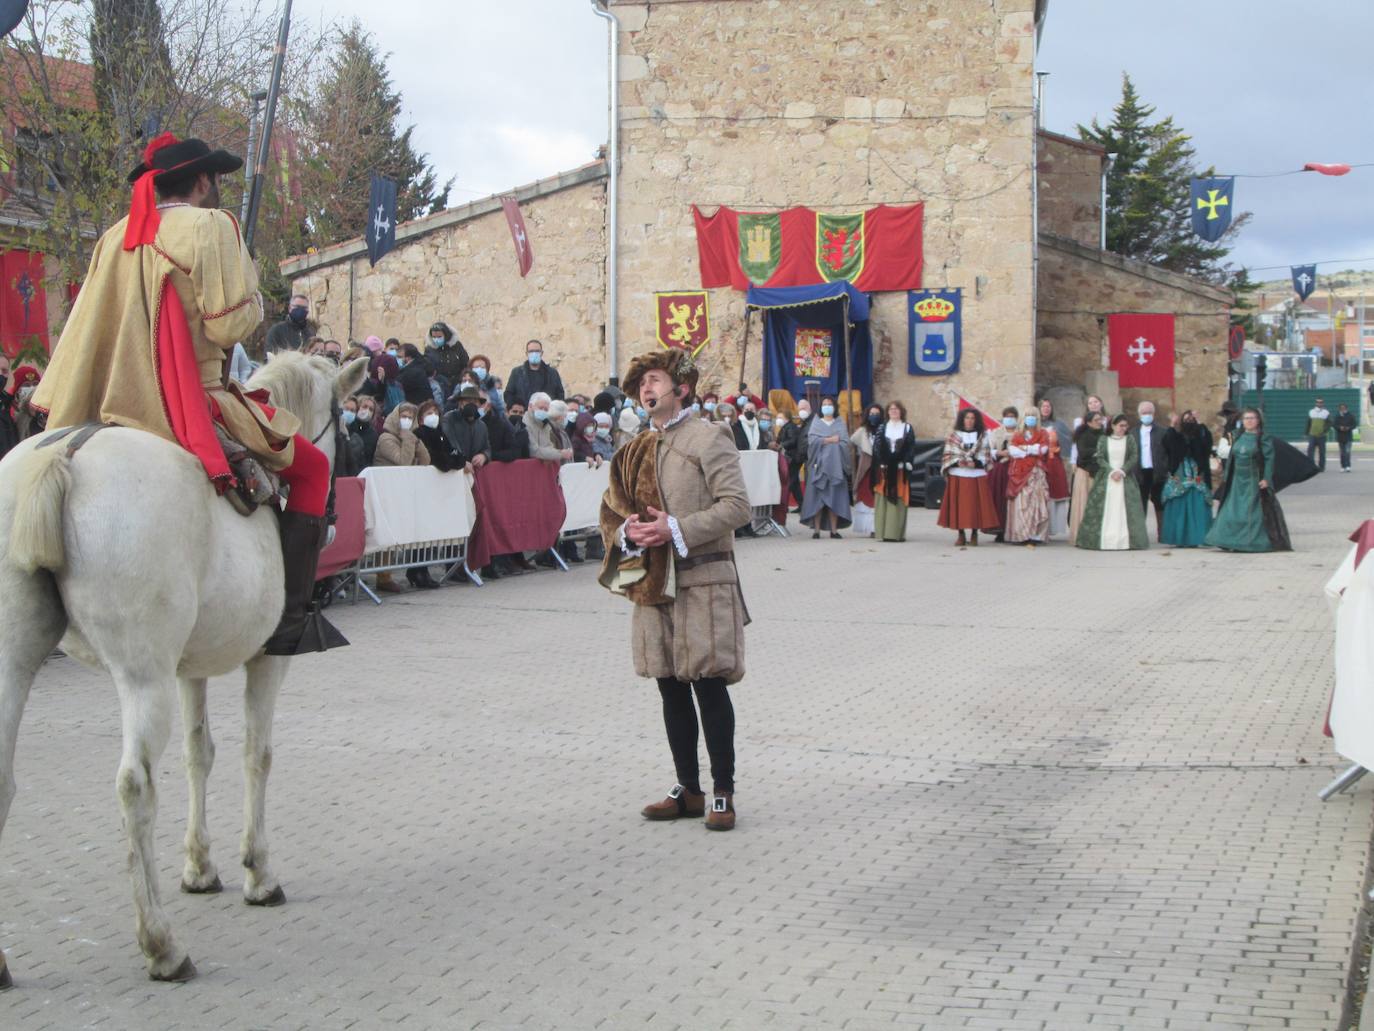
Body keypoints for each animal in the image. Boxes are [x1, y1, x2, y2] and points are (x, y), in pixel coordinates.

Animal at [0, 354, 368, 984]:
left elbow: (200, 754)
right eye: (344, 428)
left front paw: (200, 868)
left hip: (15, 661)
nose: (338, 519)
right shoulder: (267, 661)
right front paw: (257, 873)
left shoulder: (188, 669)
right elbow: (256, 755)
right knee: (135, 786)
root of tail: (64, 453)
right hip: (140, 677)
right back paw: (162, 946)